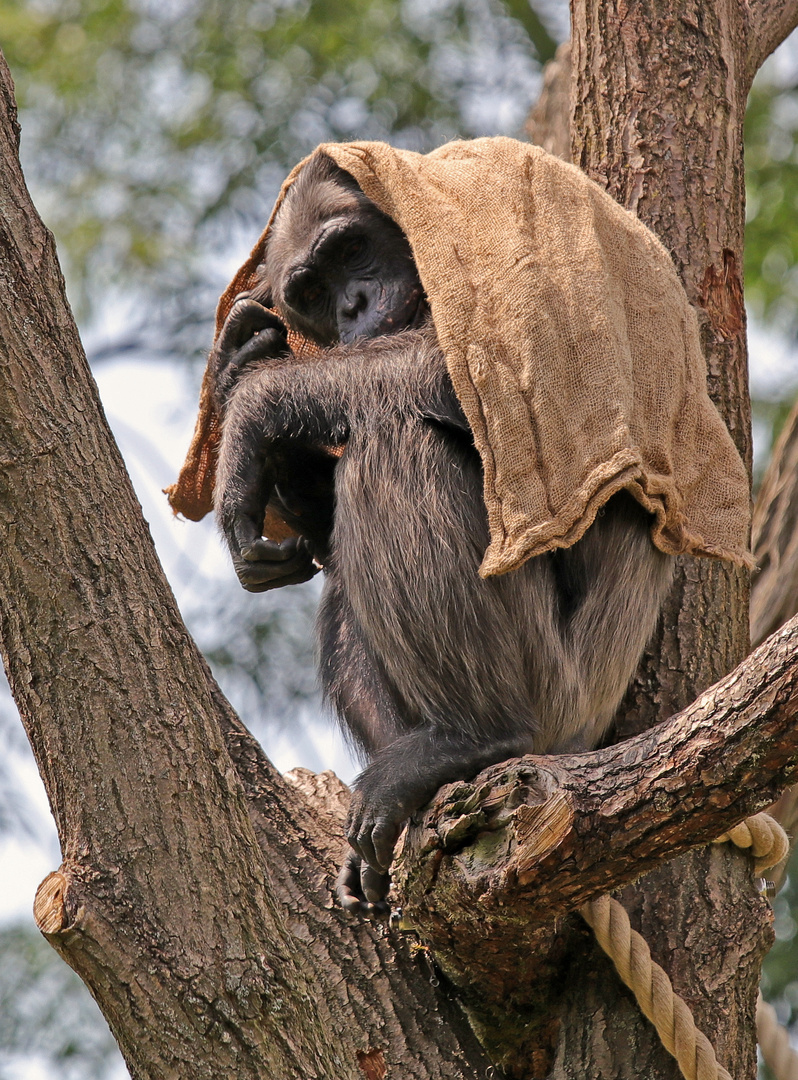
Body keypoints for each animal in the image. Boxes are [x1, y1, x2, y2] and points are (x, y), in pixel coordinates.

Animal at [212, 152, 673, 911]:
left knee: (396, 439)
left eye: (351, 250)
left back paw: (470, 738)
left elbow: (500, 372)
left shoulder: (521, 227)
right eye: (310, 289)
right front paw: (240, 358)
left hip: (559, 696)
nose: (353, 304)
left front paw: (250, 405)